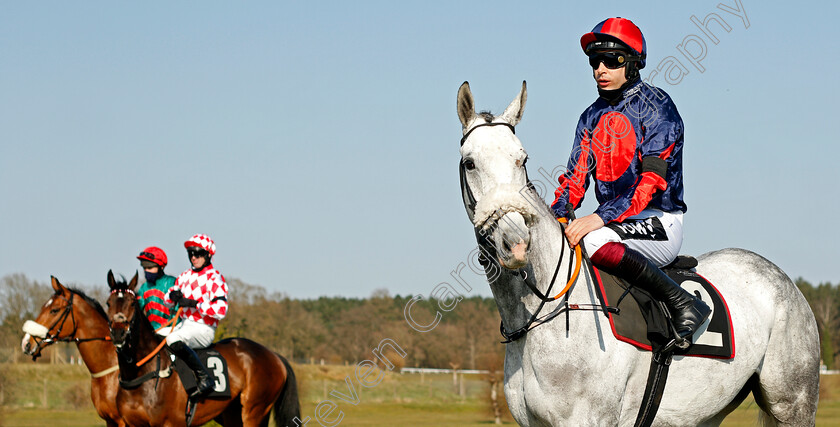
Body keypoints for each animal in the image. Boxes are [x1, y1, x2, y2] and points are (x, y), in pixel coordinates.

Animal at [106, 272, 300, 426]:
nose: (118, 333)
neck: (140, 373)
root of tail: (275, 356)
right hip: (233, 412)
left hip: (254, 411)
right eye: (108, 303)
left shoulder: (168, 424)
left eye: (132, 303)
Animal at [456, 82, 816, 426]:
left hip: (793, 404)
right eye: (470, 162)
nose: (516, 242)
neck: (541, 316)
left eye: (522, 159)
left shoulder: (589, 419)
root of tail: (782, 279)